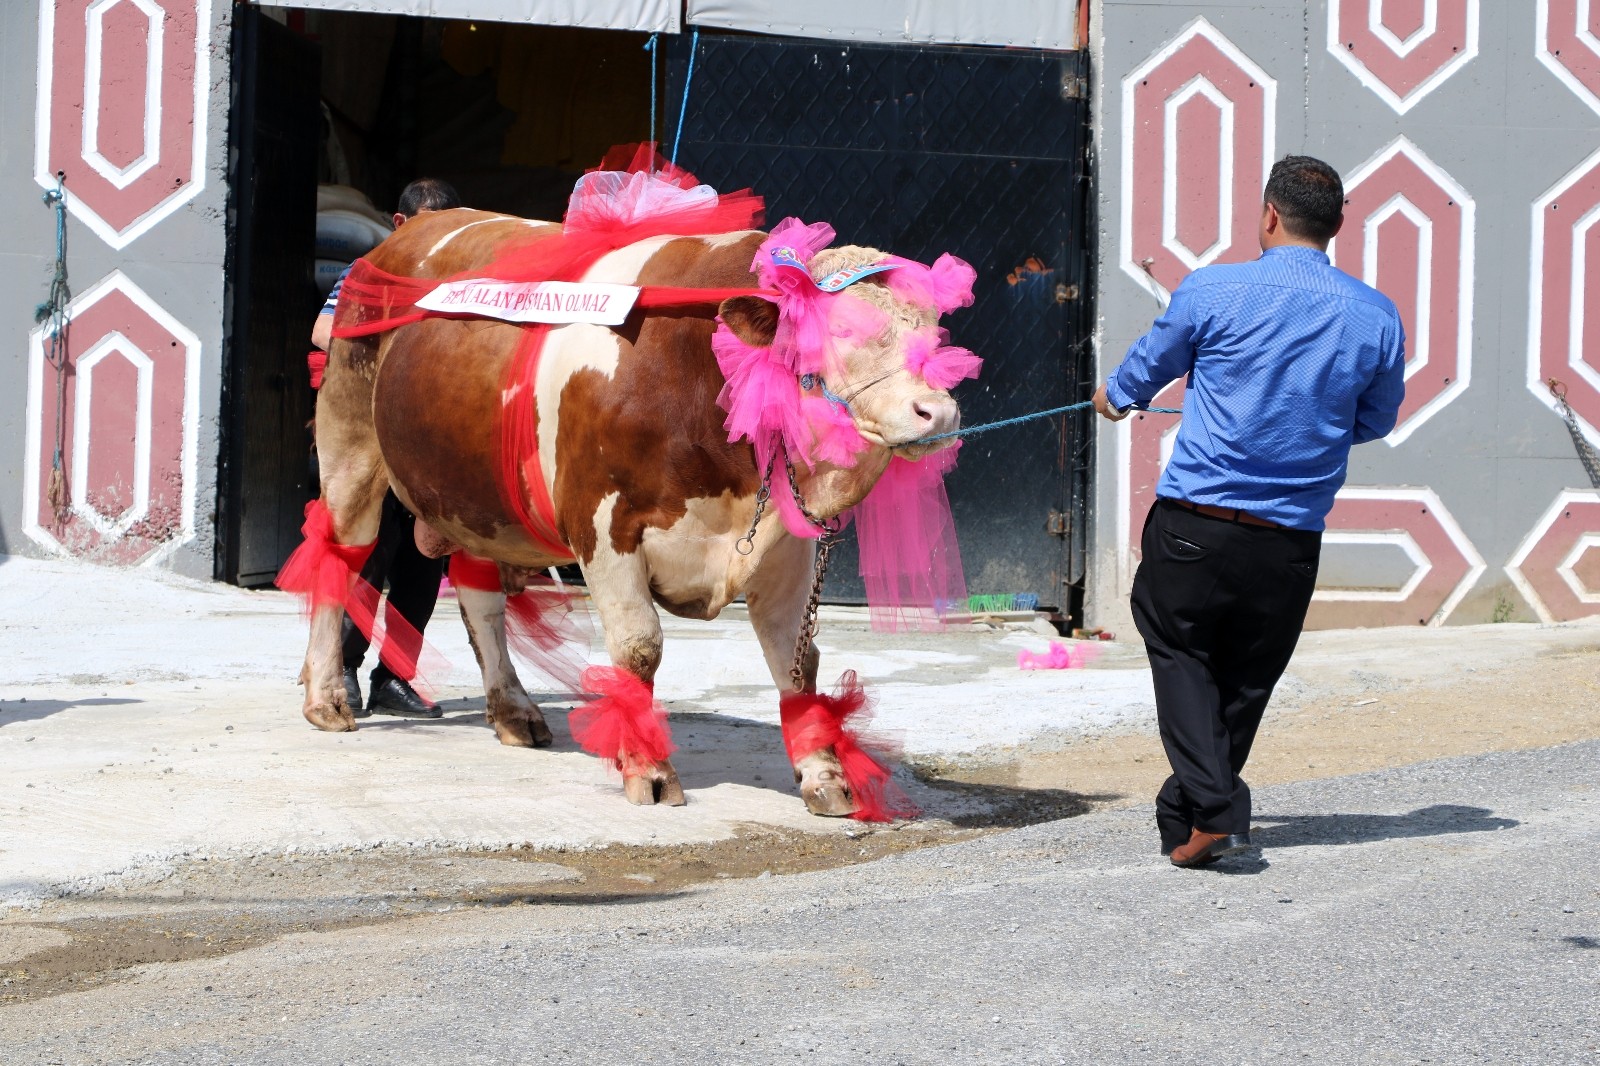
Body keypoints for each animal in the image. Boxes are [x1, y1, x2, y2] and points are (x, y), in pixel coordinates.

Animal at [300, 211, 960, 816]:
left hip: (472, 494)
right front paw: (649, 768)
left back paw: (512, 709)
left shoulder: (785, 540)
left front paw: (823, 773)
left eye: (935, 332)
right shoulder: (603, 523)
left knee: (479, 594)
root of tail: (404, 233)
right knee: (341, 555)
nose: (940, 412)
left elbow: (797, 659)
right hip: (351, 447)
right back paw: (326, 697)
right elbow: (640, 647)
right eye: (842, 328)